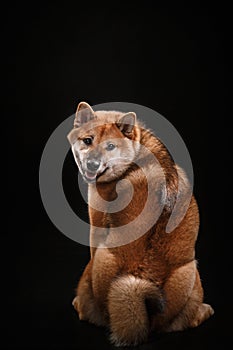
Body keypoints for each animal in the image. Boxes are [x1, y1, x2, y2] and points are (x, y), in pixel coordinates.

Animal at [66, 102, 214, 348]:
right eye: (87, 140)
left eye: (110, 146)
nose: (92, 164)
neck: (137, 152)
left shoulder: (96, 224)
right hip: (191, 270)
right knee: (186, 320)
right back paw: (204, 311)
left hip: (100, 260)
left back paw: (81, 305)